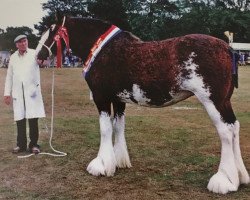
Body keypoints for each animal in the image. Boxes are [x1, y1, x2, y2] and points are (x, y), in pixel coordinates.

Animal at [36, 15, 249, 194]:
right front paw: (119, 161)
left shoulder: (101, 97)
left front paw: (101, 165)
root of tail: (227, 48)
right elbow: (118, 127)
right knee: (234, 127)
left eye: (51, 32)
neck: (102, 50)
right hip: (224, 101)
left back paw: (224, 181)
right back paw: (240, 177)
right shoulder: (118, 100)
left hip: (213, 100)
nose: (38, 56)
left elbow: (105, 129)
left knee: (225, 131)